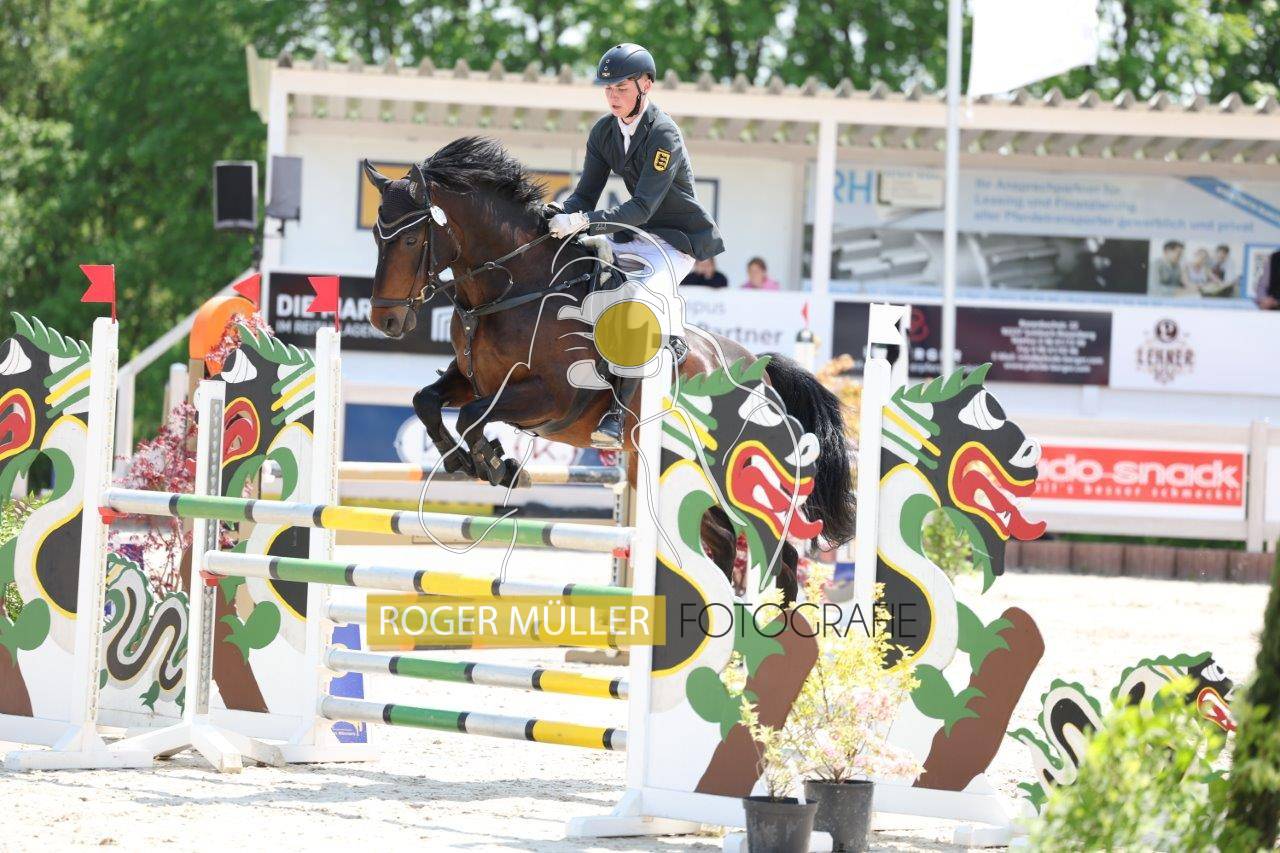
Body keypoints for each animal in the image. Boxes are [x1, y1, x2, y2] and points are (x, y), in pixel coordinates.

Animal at [362, 136, 854, 600]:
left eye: (411, 239)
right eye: (377, 237)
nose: (385, 321)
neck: (517, 287)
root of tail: (764, 373)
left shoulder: (548, 397)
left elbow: (471, 416)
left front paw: (499, 464)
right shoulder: (471, 379)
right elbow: (426, 401)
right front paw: (463, 460)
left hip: (729, 474)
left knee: (778, 554)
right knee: (723, 544)